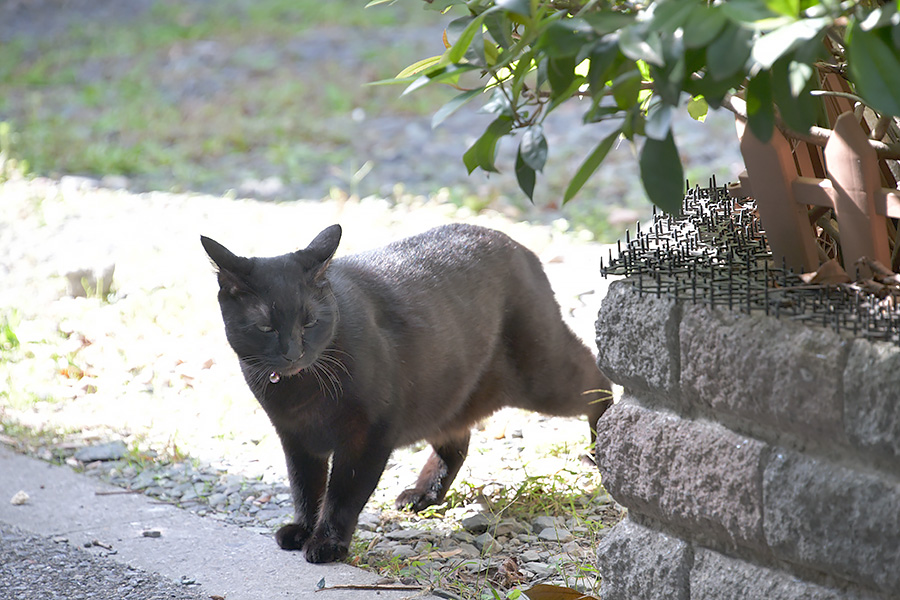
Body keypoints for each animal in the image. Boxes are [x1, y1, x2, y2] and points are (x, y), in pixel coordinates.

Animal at [201, 224, 616, 564]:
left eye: (310, 322)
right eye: (266, 327)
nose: (292, 352)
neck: (300, 391)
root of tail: (518, 246)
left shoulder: (367, 437)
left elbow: (342, 494)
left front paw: (327, 544)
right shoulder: (296, 439)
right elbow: (305, 488)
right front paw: (302, 530)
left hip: (542, 375)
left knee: (595, 374)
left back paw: (602, 445)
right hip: (444, 397)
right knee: (456, 443)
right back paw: (423, 494)